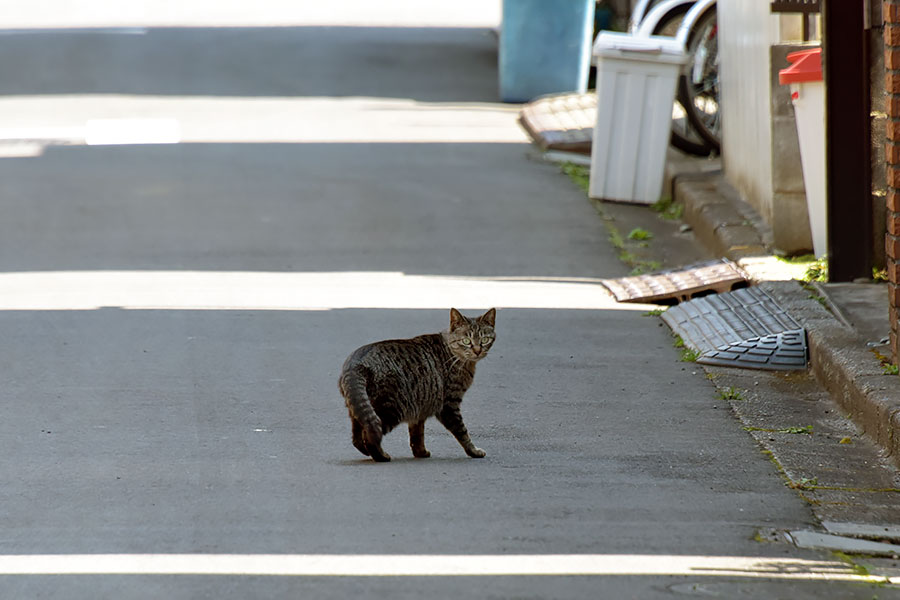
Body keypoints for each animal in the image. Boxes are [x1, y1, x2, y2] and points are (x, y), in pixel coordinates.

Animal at [338, 308, 496, 462]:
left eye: (485, 339)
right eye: (466, 341)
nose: (477, 351)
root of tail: (356, 363)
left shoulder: (420, 405)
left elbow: (417, 434)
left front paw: (420, 452)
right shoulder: (449, 405)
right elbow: (462, 432)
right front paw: (474, 451)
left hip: (359, 408)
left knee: (357, 436)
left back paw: (368, 451)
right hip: (391, 408)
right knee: (369, 435)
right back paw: (381, 456)